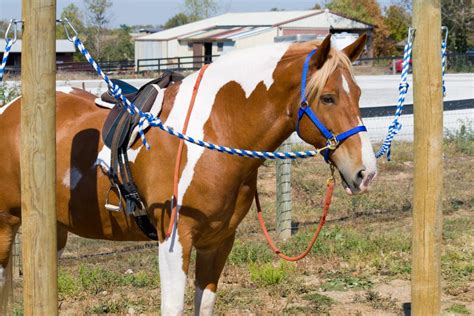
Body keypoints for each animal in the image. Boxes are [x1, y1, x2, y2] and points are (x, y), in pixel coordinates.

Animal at [0, 34, 378, 314]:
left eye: (359, 94)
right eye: (327, 98)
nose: (366, 172)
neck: (214, 133)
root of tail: (10, 109)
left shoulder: (218, 241)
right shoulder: (174, 241)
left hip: (54, 230)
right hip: (6, 224)